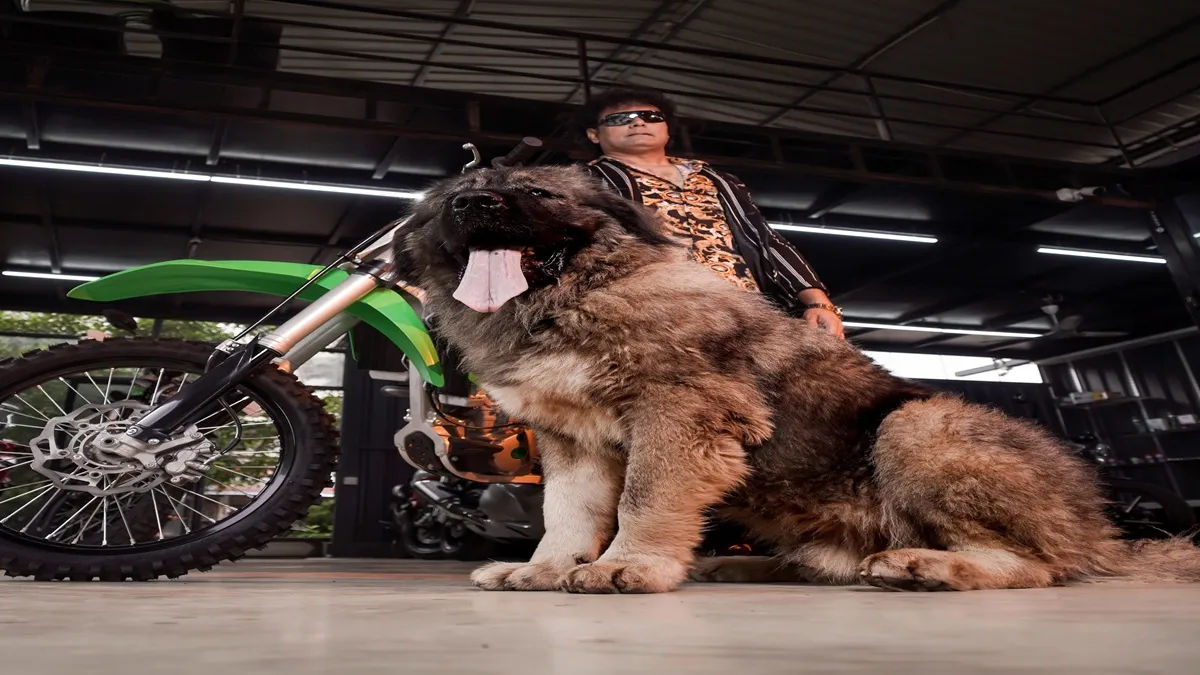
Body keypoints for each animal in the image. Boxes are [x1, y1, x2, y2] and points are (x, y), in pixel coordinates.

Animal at [393, 164, 1200, 594]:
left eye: (536, 193)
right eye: (457, 197)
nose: (470, 204)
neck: (572, 295)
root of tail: (1103, 530)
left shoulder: (678, 413)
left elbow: (644, 499)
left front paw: (634, 566)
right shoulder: (573, 440)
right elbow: (569, 513)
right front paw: (543, 568)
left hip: (916, 424)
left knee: (1041, 564)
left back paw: (924, 564)